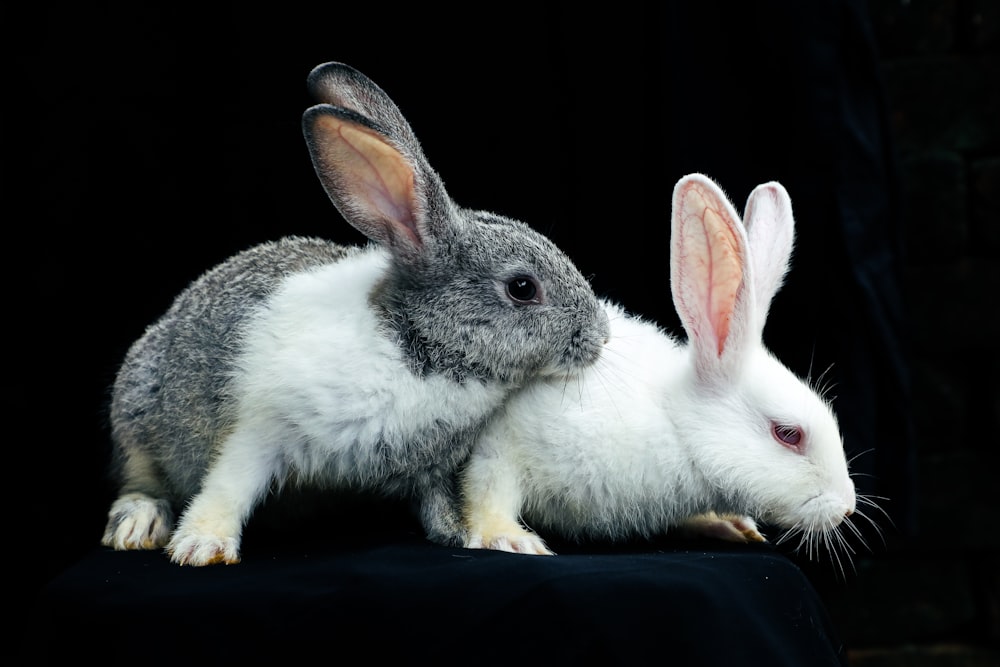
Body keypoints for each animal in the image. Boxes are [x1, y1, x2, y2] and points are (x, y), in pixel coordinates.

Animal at [101, 62, 608, 568]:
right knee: (141, 478)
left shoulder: (433, 468)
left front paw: (493, 537)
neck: (417, 347)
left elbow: (444, 509)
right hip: (136, 414)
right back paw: (138, 524)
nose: (599, 338)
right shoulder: (260, 430)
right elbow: (229, 486)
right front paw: (203, 546)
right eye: (522, 288)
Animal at [458, 174, 872, 568]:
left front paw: (728, 525)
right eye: (788, 434)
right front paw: (509, 538)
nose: (846, 507)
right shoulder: (505, 439)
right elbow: (487, 488)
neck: (678, 426)